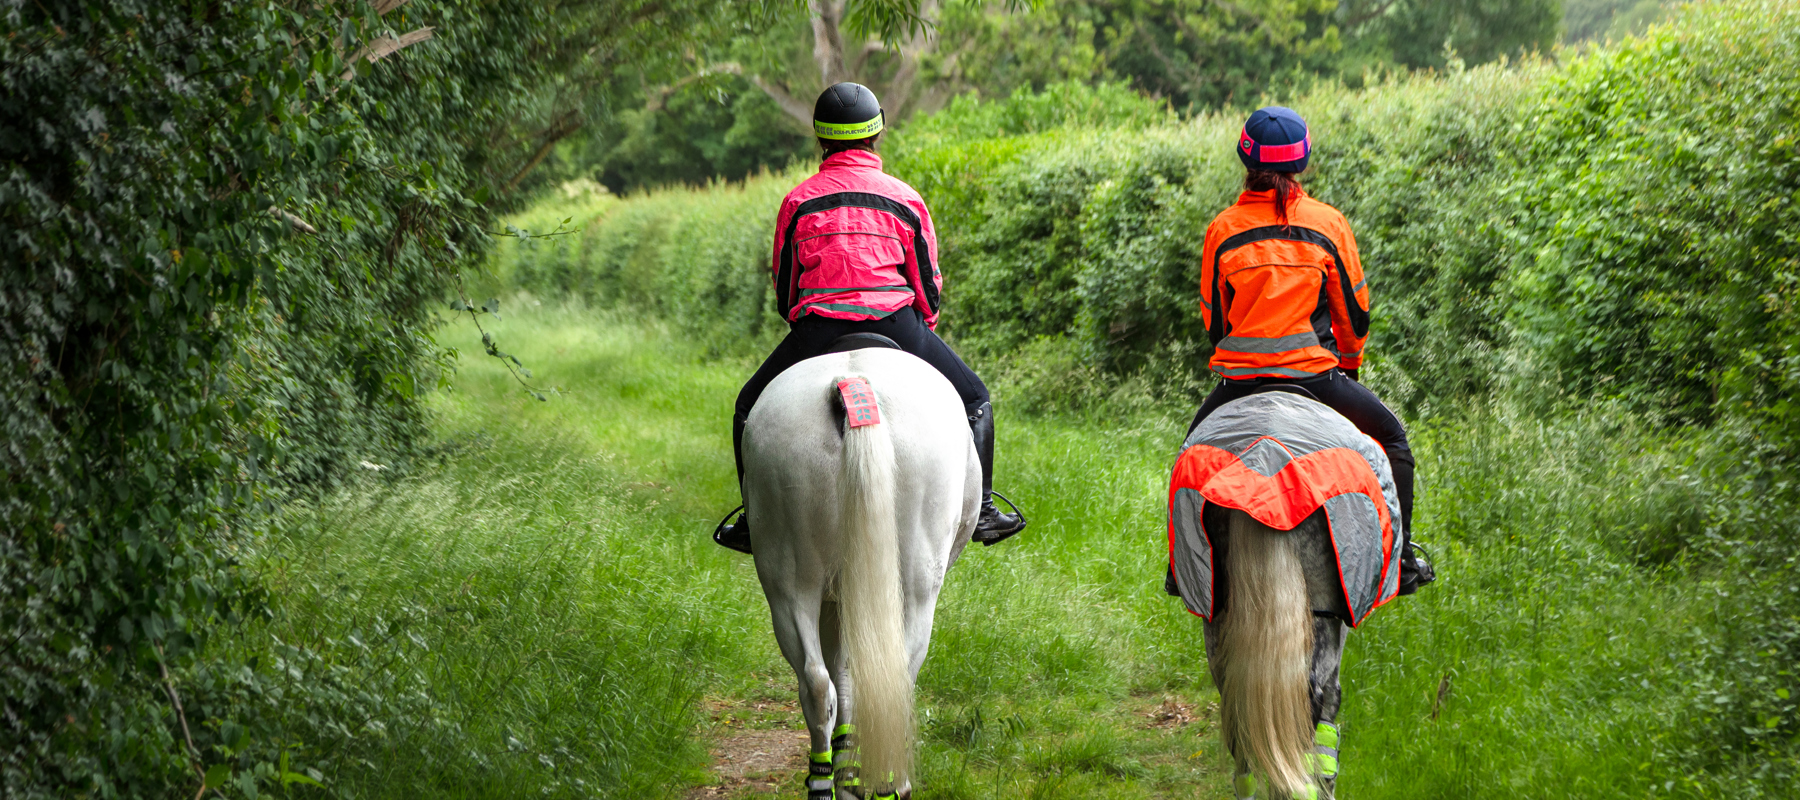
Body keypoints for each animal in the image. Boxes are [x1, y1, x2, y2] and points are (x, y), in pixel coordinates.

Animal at [742, 344, 981, 800]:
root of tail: (852, 383)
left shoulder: (836, 598)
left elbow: (842, 675)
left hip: (787, 577)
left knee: (817, 681)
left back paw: (825, 781)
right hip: (915, 587)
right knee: (894, 678)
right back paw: (890, 782)